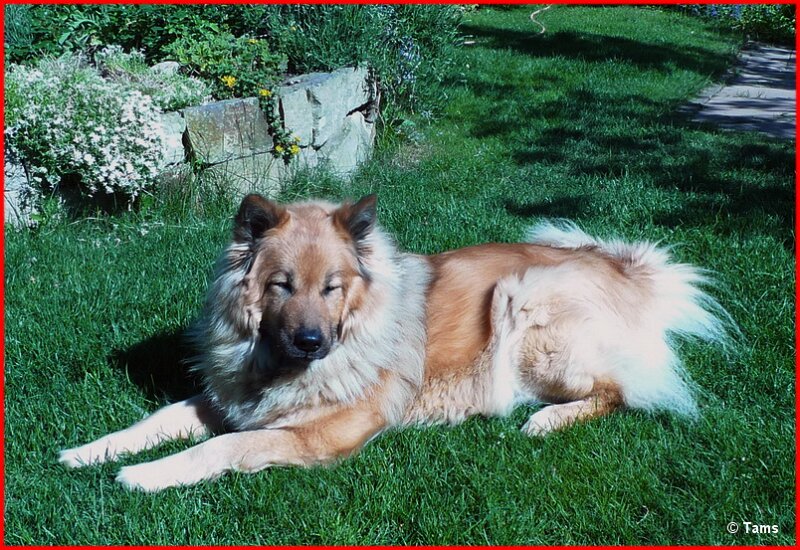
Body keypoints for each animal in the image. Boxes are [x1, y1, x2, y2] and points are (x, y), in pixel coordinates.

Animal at [59, 194, 727, 491]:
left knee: (619, 391)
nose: (311, 340)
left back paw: (544, 420)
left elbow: (220, 449)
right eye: (281, 285)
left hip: (526, 304)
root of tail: (624, 268)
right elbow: (155, 420)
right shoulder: (227, 401)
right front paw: (88, 453)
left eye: (332, 287)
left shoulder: (313, 436)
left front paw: (143, 476)